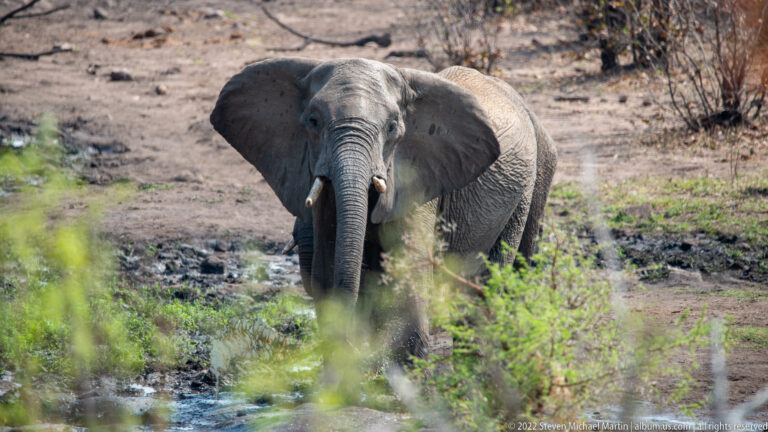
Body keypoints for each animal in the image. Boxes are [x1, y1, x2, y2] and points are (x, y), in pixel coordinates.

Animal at [210, 57, 557, 359]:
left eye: (392, 127)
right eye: (313, 121)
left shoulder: (416, 178)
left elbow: (407, 271)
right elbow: (328, 268)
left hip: (535, 178)